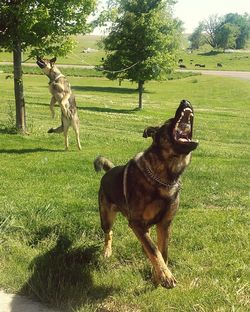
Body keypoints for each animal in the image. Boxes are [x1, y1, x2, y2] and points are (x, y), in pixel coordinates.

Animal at [94, 100, 199, 288]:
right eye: (169, 121)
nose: (185, 101)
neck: (164, 177)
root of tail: (109, 171)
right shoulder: (136, 223)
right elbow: (154, 249)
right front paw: (165, 275)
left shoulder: (164, 225)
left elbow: (162, 252)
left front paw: (158, 275)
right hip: (106, 218)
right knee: (109, 233)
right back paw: (107, 251)